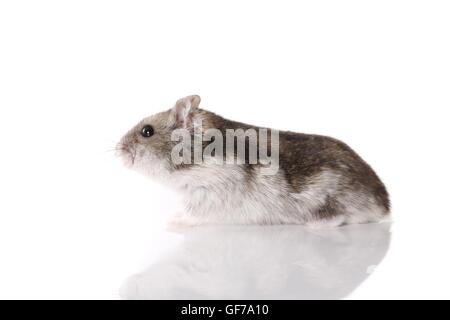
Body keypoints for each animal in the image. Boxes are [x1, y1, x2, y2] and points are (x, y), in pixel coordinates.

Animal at [117, 95, 390, 228]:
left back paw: (315, 226)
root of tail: (384, 204)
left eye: (147, 131)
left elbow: (189, 214)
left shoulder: (207, 195)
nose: (119, 151)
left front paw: (172, 222)